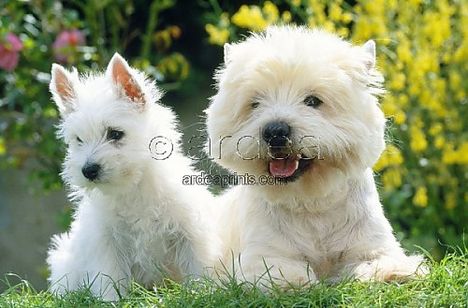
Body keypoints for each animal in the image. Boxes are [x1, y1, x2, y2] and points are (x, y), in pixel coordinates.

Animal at [47, 53, 216, 300]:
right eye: (78, 140)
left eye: (115, 134)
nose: (88, 170)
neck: (133, 187)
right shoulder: (107, 243)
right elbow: (110, 279)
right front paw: (111, 301)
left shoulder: (190, 232)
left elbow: (198, 267)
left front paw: (204, 293)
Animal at [207, 26, 426, 288]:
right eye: (255, 103)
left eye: (313, 101)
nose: (275, 131)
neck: (312, 202)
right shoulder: (265, 254)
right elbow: (279, 270)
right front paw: (296, 282)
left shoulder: (371, 246)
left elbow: (379, 261)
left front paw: (392, 274)